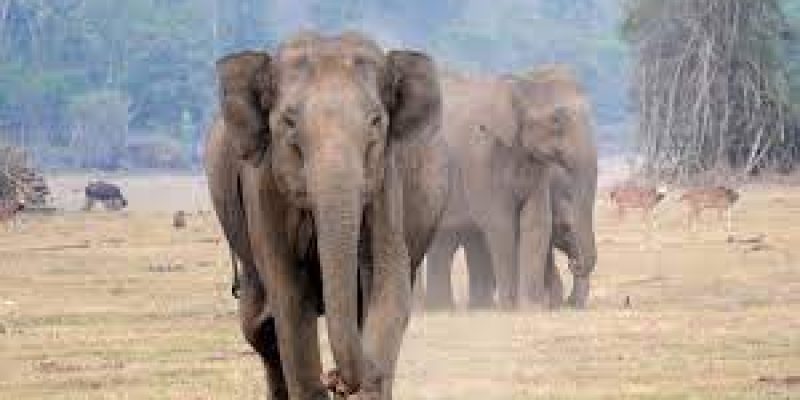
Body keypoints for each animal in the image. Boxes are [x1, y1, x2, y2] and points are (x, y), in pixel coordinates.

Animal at [205, 32, 448, 399]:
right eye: (289, 122)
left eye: (376, 121)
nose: (337, 380)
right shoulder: (263, 187)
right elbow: (289, 295)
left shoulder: (386, 181)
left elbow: (388, 281)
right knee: (260, 331)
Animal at [424, 66, 597, 310]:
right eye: (556, 120)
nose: (575, 263)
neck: (520, 82)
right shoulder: (479, 158)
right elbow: (500, 222)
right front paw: (509, 307)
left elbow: (535, 221)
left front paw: (531, 308)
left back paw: (444, 308)